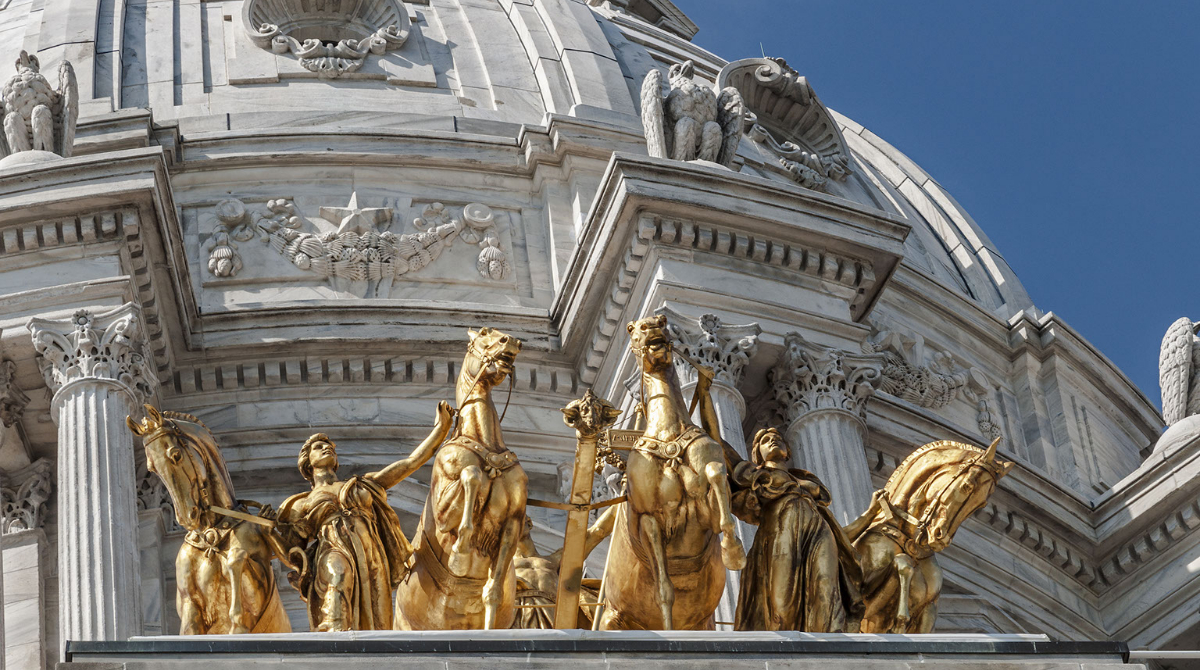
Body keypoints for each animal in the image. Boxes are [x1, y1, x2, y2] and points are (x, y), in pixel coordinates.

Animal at [393, 328, 525, 633]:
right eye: (485, 333)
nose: (511, 340)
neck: (487, 447)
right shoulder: (442, 512)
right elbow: (472, 475)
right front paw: (460, 554)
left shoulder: (514, 520)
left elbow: (492, 591)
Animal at [604, 314, 744, 629]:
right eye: (633, 329)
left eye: (663, 320)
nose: (651, 325)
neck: (668, 436)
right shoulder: (648, 519)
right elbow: (665, 590)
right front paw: (669, 631)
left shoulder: (706, 510)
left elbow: (716, 474)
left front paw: (733, 550)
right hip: (610, 618)